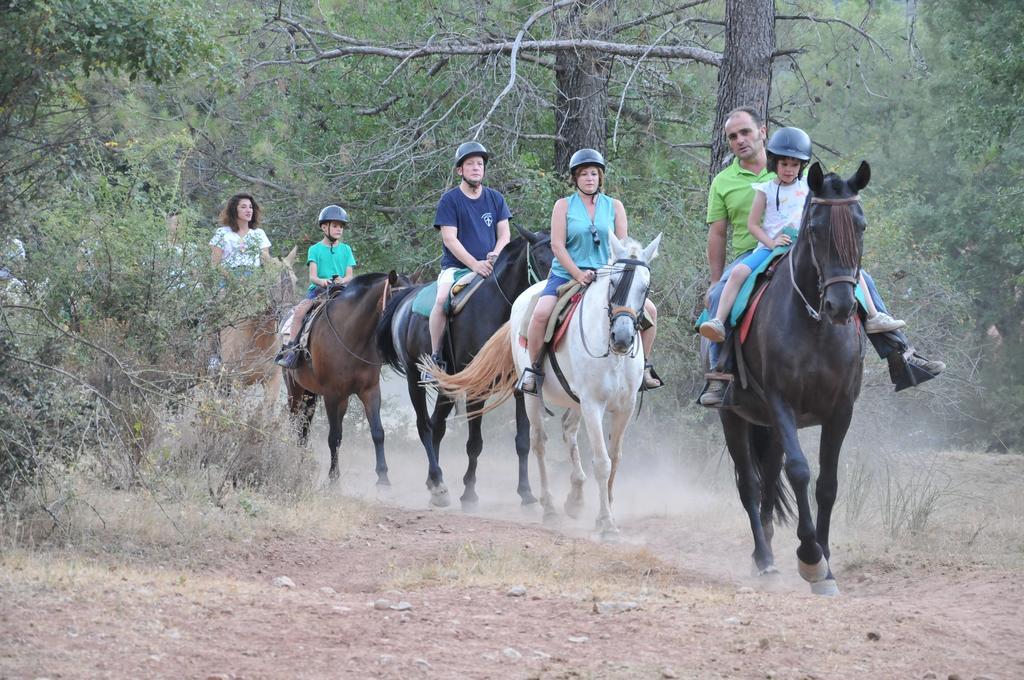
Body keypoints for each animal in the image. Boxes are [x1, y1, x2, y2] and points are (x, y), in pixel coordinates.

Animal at [216, 246, 296, 405]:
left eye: (295, 280)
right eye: (272, 282)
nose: (289, 318)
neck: (258, 338)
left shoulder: (272, 381)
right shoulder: (237, 382)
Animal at [284, 270, 407, 483]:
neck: (352, 336)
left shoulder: (369, 391)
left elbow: (378, 432)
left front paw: (383, 480)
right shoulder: (332, 395)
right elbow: (334, 437)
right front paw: (334, 480)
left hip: (313, 395)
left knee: (304, 430)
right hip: (295, 391)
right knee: (295, 424)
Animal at [376, 225, 552, 507]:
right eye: (543, 260)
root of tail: (405, 300)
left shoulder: (519, 388)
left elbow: (522, 441)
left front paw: (526, 494)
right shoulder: (476, 389)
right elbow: (475, 442)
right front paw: (469, 492)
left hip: (446, 387)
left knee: (437, 426)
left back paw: (433, 481)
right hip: (415, 379)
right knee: (425, 426)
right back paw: (438, 486)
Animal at [419, 233, 659, 536]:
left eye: (645, 287)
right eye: (613, 283)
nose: (623, 338)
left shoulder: (624, 407)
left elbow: (615, 457)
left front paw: (609, 509)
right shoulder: (593, 404)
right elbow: (602, 462)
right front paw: (606, 523)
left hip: (571, 399)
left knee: (567, 431)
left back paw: (574, 499)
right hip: (531, 397)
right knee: (538, 443)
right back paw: (548, 507)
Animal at [720, 160, 872, 593]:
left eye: (861, 225)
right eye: (816, 229)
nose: (840, 305)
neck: (815, 326)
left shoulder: (841, 411)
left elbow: (827, 484)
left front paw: (827, 563)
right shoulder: (781, 402)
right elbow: (801, 471)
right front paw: (809, 558)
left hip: (768, 428)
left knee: (770, 480)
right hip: (733, 417)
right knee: (750, 485)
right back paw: (764, 558)